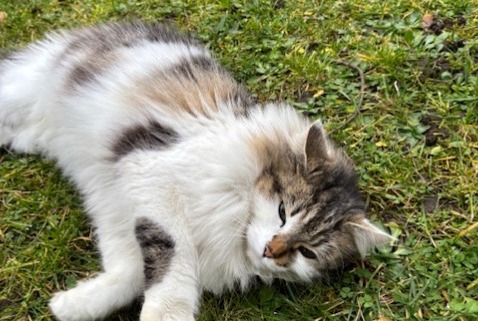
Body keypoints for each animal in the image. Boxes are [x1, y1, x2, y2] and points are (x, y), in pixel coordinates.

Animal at [0, 22, 392, 320]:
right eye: (283, 211)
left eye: (307, 253)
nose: (271, 250)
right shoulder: (151, 174)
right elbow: (175, 254)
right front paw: (165, 314)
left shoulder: (119, 205)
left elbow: (130, 271)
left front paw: (71, 305)